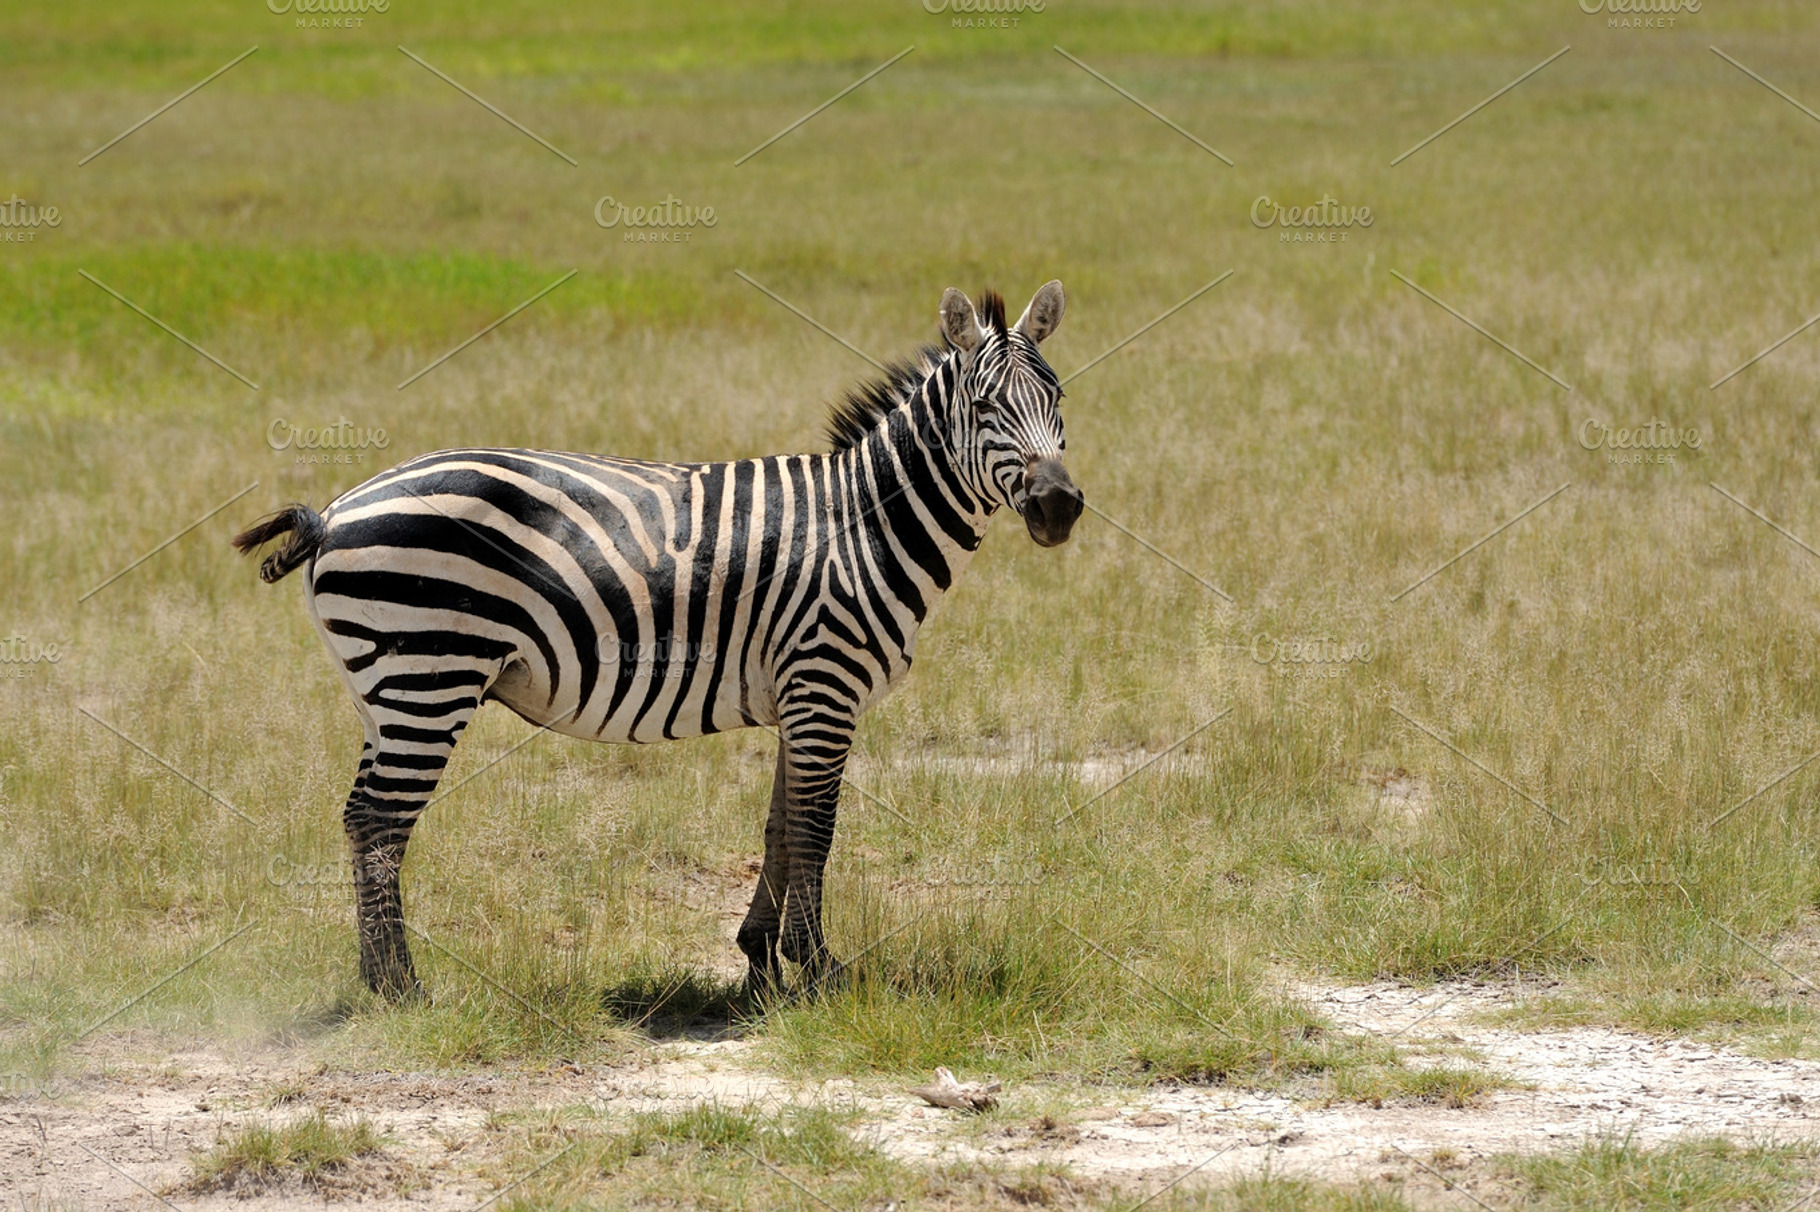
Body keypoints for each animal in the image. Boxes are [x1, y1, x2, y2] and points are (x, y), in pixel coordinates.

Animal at [227, 283, 1077, 997]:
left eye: (1059, 397)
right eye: (983, 405)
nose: (1059, 506)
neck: (863, 524)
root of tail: (335, 511)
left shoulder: (797, 699)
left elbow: (778, 825)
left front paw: (761, 960)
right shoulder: (824, 686)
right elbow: (815, 829)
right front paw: (820, 970)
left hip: (384, 690)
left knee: (358, 816)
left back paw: (381, 979)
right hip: (428, 674)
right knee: (380, 821)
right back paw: (399, 988)